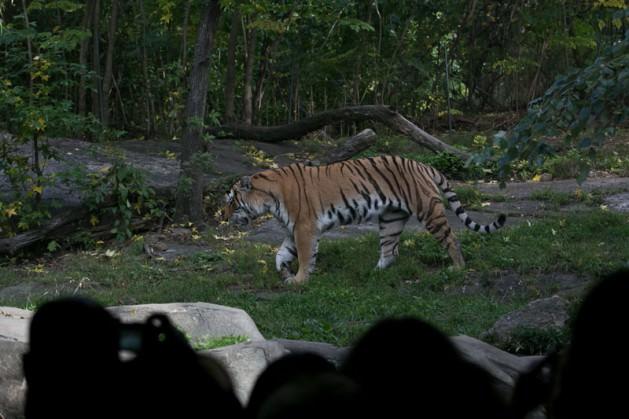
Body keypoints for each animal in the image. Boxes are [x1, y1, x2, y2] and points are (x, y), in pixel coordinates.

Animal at [223, 156, 508, 288]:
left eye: (232, 201)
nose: (223, 217)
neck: (268, 198)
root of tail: (423, 165)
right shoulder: (293, 230)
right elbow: (280, 254)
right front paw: (284, 272)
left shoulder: (304, 227)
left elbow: (304, 256)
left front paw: (301, 279)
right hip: (391, 219)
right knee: (390, 251)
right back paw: (372, 272)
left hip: (429, 211)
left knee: (451, 239)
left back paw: (457, 268)